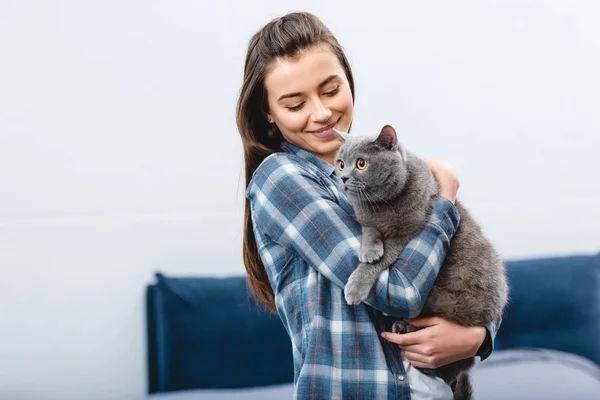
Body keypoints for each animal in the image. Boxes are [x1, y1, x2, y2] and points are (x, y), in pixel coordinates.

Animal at [336, 125, 508, 400]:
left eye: (361, 163)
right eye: (341, 163)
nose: (341, 177)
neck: (379, 206)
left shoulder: (407, 234)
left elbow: (382, 258)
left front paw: (355, 286)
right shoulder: (366, 219)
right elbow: (369, 231)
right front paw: (369, 249)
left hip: (449, 302)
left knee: (455, 364)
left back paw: (405, 329)